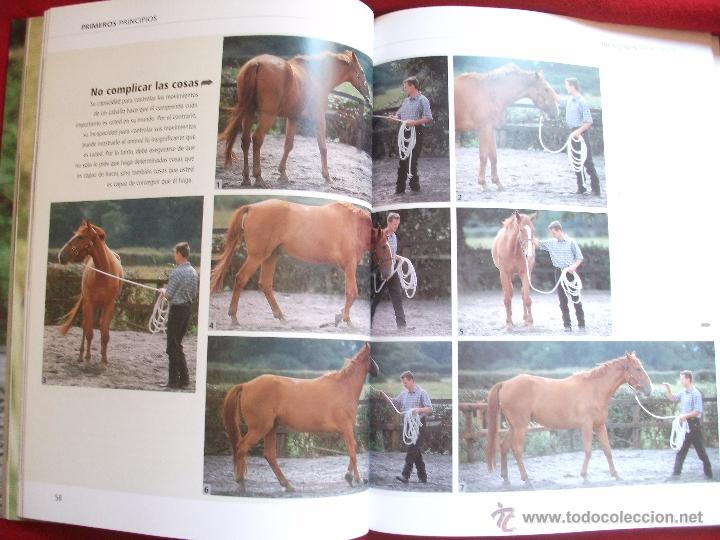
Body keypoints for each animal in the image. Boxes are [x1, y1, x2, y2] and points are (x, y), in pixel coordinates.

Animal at [57, 219, 124, 367]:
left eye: (80, 237)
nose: (61, 256)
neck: (104, 273)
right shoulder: (89, 303)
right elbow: (89, 333)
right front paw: (87, 359)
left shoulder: (109, 305)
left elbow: (105, 334)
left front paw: (104, 361)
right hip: (88, 304)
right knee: (85, 326)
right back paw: (81, 356)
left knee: (100, 326)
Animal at [210, 199, 389, 327]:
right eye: (383, 246)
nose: (387, 272)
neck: (353, 226)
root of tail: (252, 207)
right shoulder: (350, 265)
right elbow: (353, 292)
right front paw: (345, 319)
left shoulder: (347, 267)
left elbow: (350, 293)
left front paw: (339, 316)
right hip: (257, 257)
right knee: (241, 278)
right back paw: (234, 317)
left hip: (270, 257)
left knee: (265, 284)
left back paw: (281, 317)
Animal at [219, 50, 371, 187]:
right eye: (362, 72)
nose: (368, 97)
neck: (317, 77)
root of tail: (256, 63)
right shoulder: (319, 116)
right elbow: (323, 147)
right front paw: (327, 177)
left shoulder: (293, 117)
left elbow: (288, 145)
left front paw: (283, 175)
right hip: (268, 115)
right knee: (257, 139)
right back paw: (259, 178)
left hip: (249, 111)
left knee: (245, 141)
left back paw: (246, 179)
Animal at [222, 342, 378, 491]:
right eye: (371, 355)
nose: (377, 370)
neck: (343, 388)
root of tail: (246, 385)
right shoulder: (346, 429)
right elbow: (353, 450)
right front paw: (356, 478)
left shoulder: (346, 430)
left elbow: (352, 450)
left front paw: (349, 476)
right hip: (259, 428)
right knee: (242, 448)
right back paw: (241, 483)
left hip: (271, 428)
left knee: (269, 455)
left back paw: (287, 485)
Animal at [485, 352, 653, 486]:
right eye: (637, 368)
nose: (649, 390)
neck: (595, 389)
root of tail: (505, 383)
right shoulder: (587, 426)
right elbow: (588, 450)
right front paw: (584, 476)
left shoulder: (599, 426)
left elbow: (607, 450)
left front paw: (616, 475)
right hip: (521, 426)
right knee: (517, 450)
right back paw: (526, 479)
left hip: (513, 427)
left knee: (504, 446)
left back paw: (506, 479)